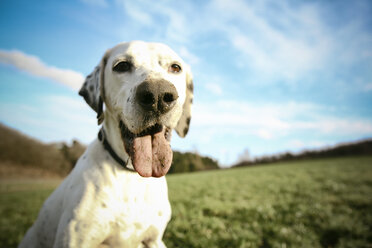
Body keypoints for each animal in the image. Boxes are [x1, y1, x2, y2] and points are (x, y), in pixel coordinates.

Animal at [19, 41, 195, 247]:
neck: (130, 176)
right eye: (122, 66)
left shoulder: (153, 240)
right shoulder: (74, 240)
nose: (158, 95)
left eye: (175, 67)